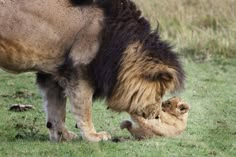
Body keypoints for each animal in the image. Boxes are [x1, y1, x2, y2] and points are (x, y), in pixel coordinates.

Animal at [0, 0, 184, 142]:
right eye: (160, 94)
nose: (156, 116)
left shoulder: (53, 72)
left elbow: (56, 110)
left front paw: (62, 136)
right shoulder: (79, 70)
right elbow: (84, 107)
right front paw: (93, 136)